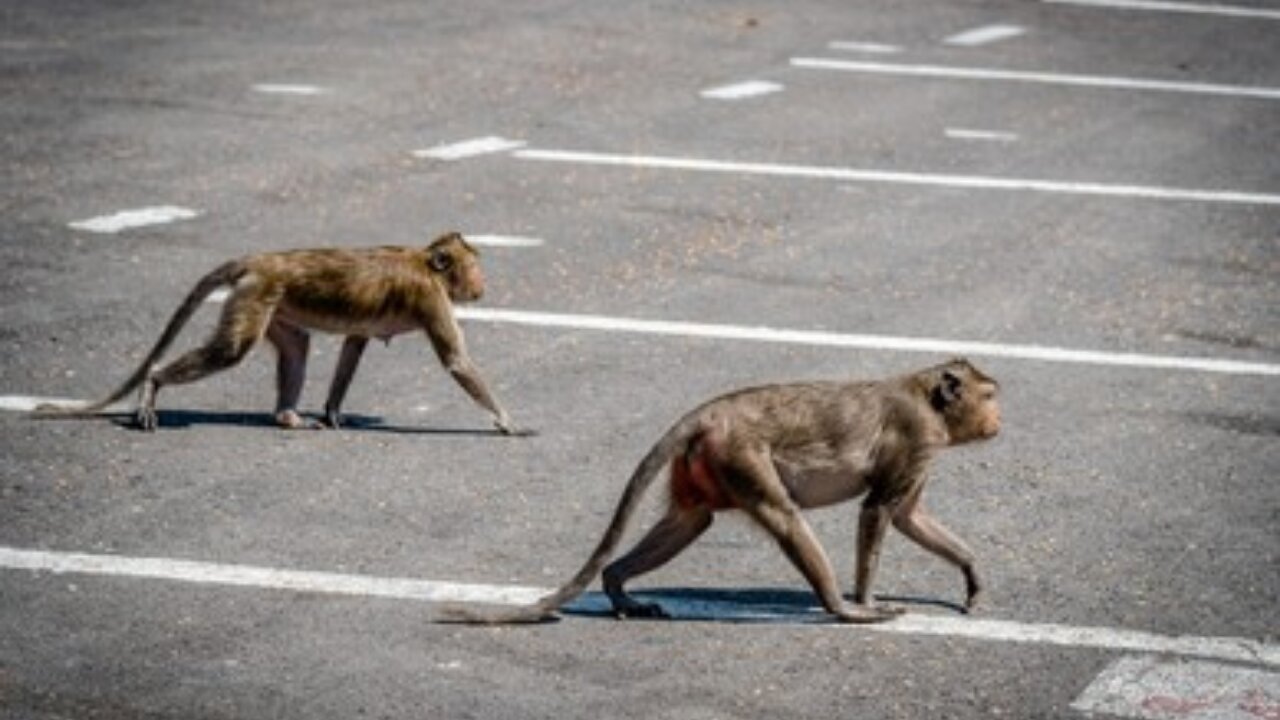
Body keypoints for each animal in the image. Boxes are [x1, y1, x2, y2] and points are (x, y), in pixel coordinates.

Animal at [37, 229, 522, 430]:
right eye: (473, 264)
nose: (482, 283)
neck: (427, 265)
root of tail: (259, 260)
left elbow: (353, 344)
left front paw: (332, 412)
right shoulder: (430, 297)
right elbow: (456, 361)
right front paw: (506, 421)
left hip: (275, 305)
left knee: (296, 348)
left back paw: (287, 417)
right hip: (257, 294)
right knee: (231, 350)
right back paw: (153, 383)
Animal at [440, 358, 998, 622]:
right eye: (990, 395)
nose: (999, 419)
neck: (929, 400)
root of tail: (708, 413)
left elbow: (907, 517)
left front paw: (972, 575)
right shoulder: (919, 437)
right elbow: (878, 511)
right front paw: (865, 598)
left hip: (705, 463)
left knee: (690, 521)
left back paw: (619, 587)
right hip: (740, 454)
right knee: (784, 515)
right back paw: (840, 608)